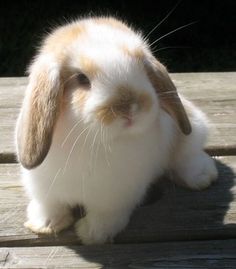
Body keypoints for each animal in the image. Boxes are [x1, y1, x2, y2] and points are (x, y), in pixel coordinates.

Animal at [15, 15, 218, 244]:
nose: (129, 107)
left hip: (192, 131)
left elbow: (105, 216)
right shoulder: (45, 189)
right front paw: (45, 225)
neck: (90, 141)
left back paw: (203, 176)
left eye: (142, 68)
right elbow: (50, 206)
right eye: (81, 79)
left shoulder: (114, 197)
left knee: (187, 156)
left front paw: (92, 235)